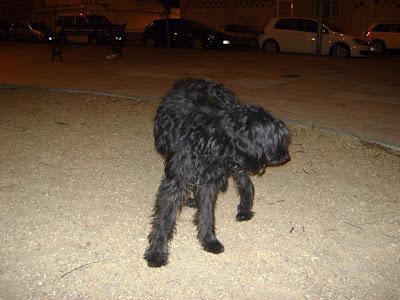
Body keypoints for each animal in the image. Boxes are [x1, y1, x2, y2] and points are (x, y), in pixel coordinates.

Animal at [145, 78, 290, 268]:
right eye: (278, 139)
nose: (287, 156)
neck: (211, 137)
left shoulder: (210, 181)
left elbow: (207, 214)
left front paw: (209, 240)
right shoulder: (177, 180)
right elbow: (165, 217)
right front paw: (157, 252)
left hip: (235, 165)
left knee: (247, 184)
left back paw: (245, 209)